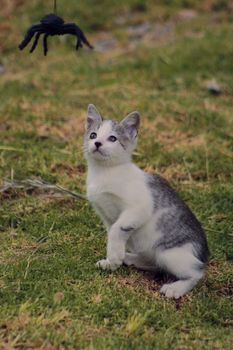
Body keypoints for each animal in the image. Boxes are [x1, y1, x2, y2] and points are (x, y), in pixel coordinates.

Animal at [84, 104, 209, 298]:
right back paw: (130, 258)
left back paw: (176, 288)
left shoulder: (140, 207)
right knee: (153, 262)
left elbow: (116, 230)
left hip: (170, 254)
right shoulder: (105, 214)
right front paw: (112, 259)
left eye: (112, 138)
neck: (105, 171)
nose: (97, 143)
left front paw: (114, 258)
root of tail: (204, 253)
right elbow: (112, 231)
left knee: (196, 272)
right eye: (93, 135)